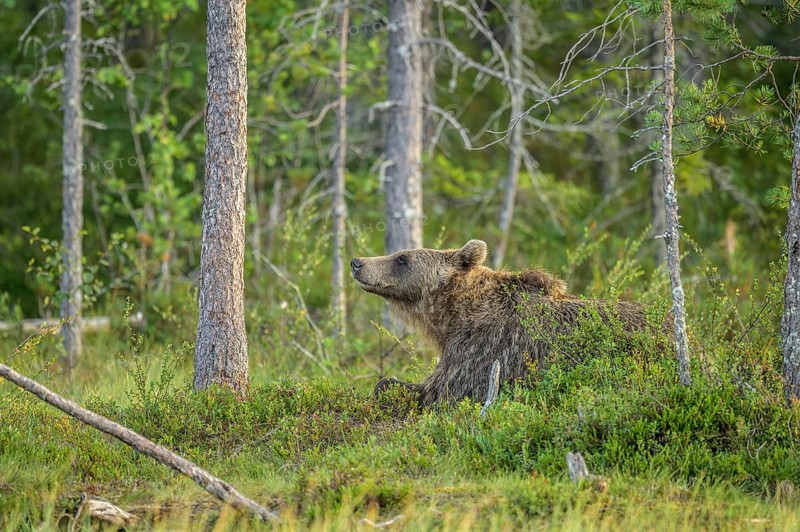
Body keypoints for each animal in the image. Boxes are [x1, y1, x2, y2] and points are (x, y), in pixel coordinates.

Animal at [350, 239, 669, 405]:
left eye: (402, 258)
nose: (357, 262)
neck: (452, 315)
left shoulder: (485, 348)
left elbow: (443, 389)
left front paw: (388, 384)